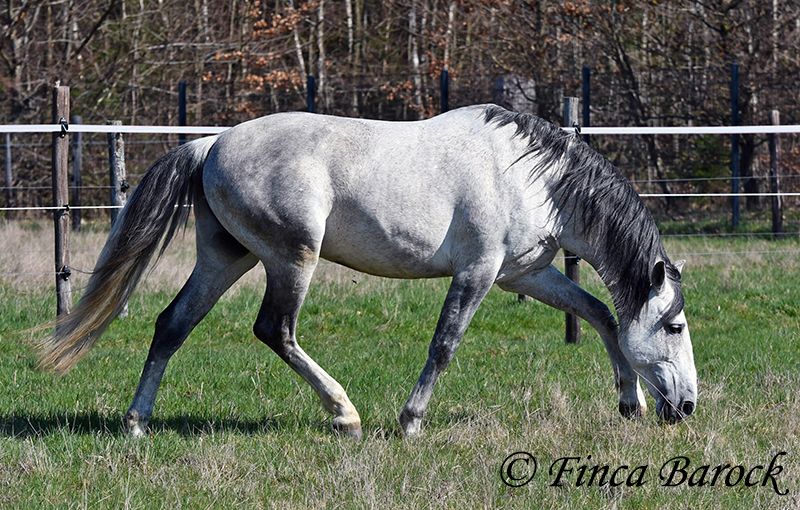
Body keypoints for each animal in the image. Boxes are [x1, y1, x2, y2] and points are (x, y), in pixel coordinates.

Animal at [37, 104, 697, 439]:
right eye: (675, 327)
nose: (687, 406)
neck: (532, 176)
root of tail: (212, 144)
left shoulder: (524, 276)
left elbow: (603, 316)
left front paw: (630, 403)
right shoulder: (478, 273)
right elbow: (444, 345)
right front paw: (409, 423)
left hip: (227, 256)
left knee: (172, 325)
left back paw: (136, 424)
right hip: (291, 259)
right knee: (275, 330)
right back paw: (345, 415)